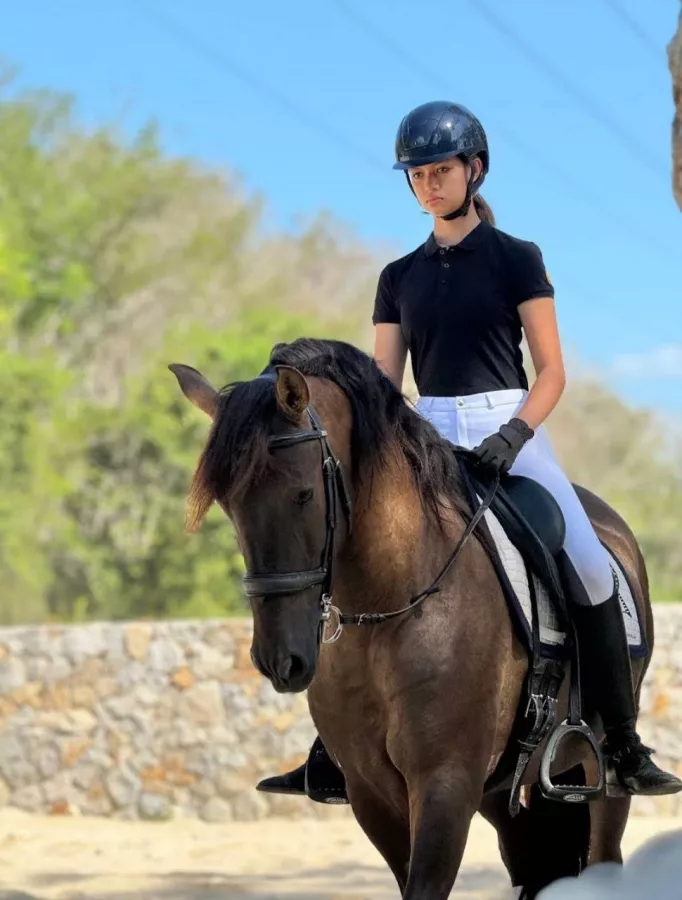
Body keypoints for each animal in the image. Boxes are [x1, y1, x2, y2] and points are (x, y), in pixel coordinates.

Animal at [169, 337, 653, 899]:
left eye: (303, 494)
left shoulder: (445, 783)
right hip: (503, 792)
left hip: (598, 782)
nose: (279, 661)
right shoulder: (370, 790)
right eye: (229, 506)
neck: (388, 607)